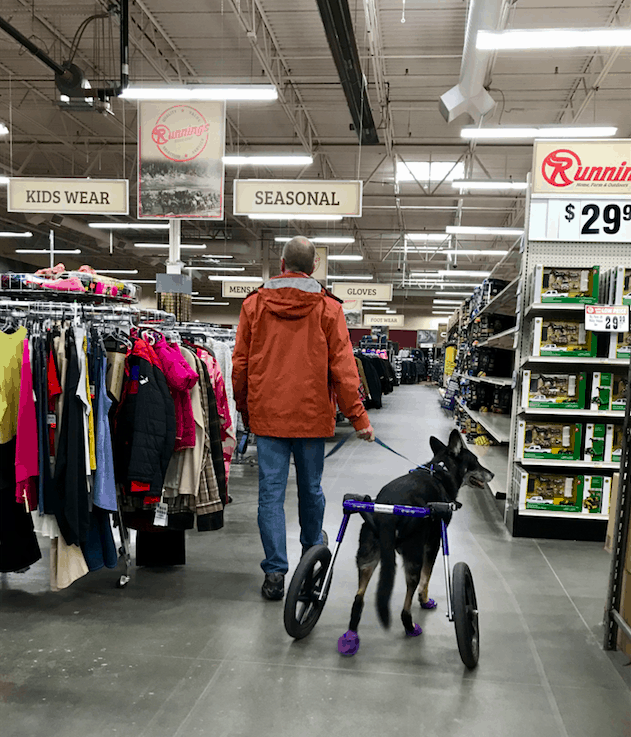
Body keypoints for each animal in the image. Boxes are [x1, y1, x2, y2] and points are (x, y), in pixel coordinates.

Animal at [338, 426, 496, 656]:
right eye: (475, 461)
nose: (492, 473)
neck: (440, 471)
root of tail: (386, 514)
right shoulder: (434, 543)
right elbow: (426, 578)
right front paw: (425, 600)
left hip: (367, 556)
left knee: (359, 597)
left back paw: (351, 636)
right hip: (413, 555)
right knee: (407, 602)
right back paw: (410, 626)